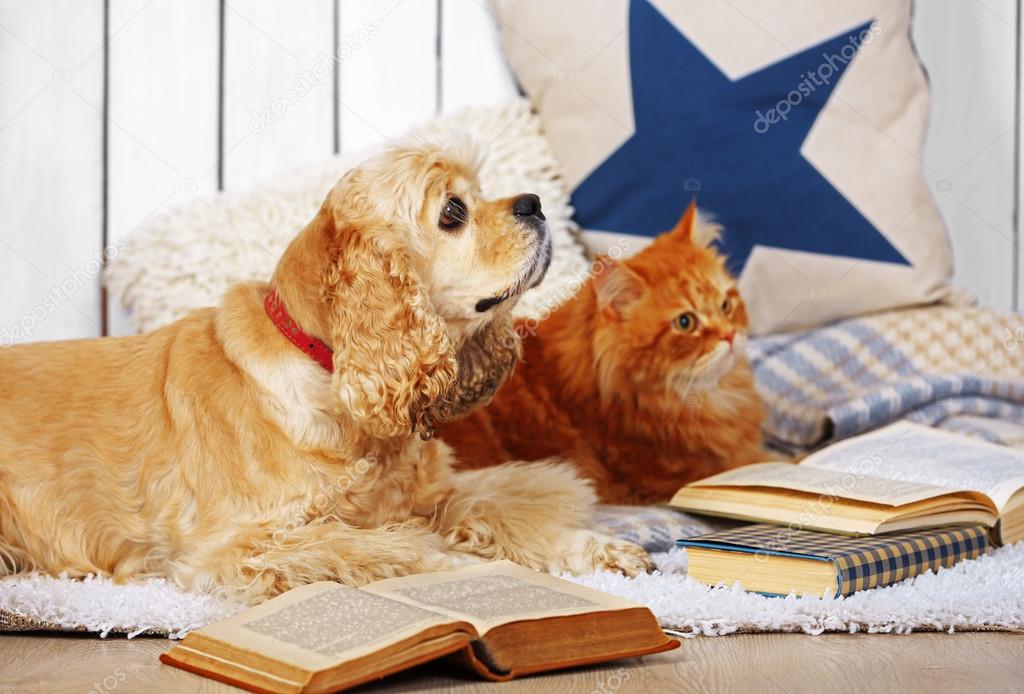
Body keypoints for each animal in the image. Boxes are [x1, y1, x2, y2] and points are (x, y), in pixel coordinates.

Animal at [0, 142, 651, 601]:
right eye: (453, 211)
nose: (535, 203)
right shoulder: (241, 544)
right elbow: (384, 548)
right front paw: (467, 568)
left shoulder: (428, 496)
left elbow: (498, 509)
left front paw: (598, 547)